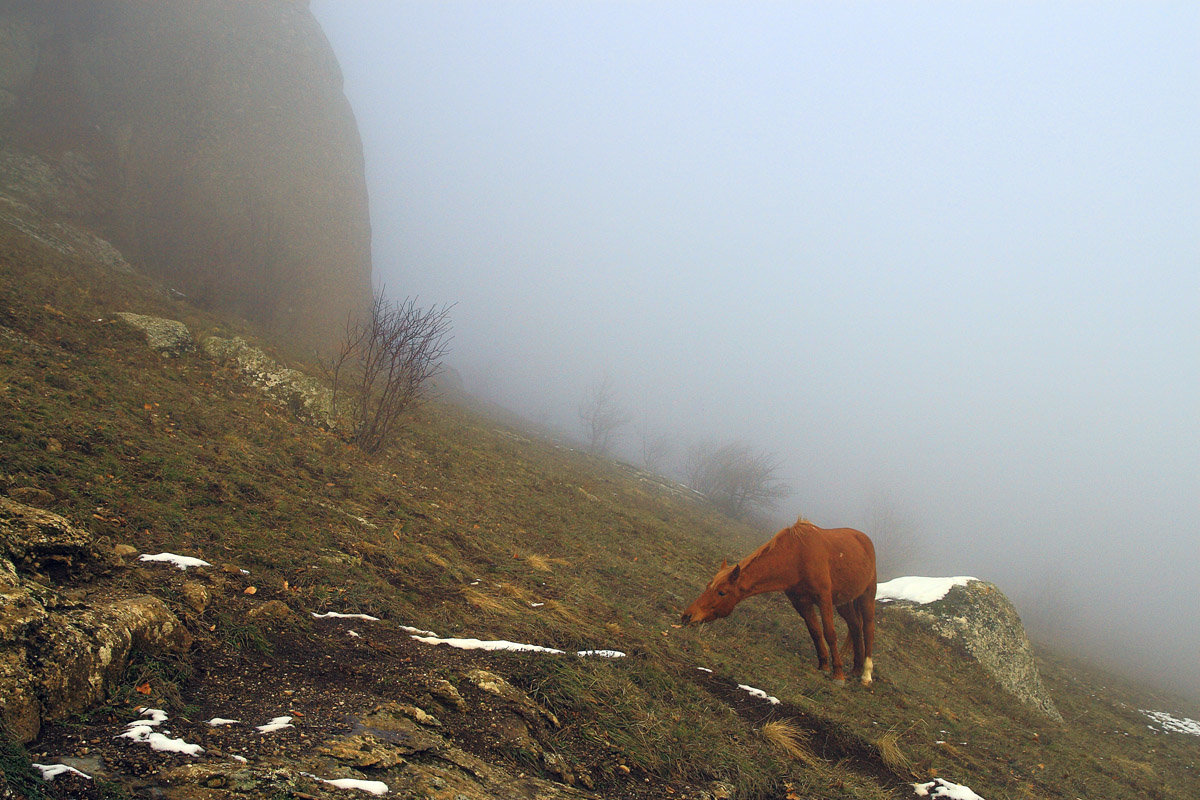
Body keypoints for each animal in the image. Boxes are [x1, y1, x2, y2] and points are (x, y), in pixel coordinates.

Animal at [681, 522, 878, 686]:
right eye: (708, 585)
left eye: (722, 592)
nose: (687, 616)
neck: (798, 556)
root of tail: (864, 539)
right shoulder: (801, 602)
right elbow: (815, 631)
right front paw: (824, 665)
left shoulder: (823, 598)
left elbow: (830, 633)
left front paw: (838, 674)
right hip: (844, 601)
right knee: (855, 625)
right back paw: (856, 668)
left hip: (867, 595)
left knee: (868, 627)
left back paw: (866, 674)